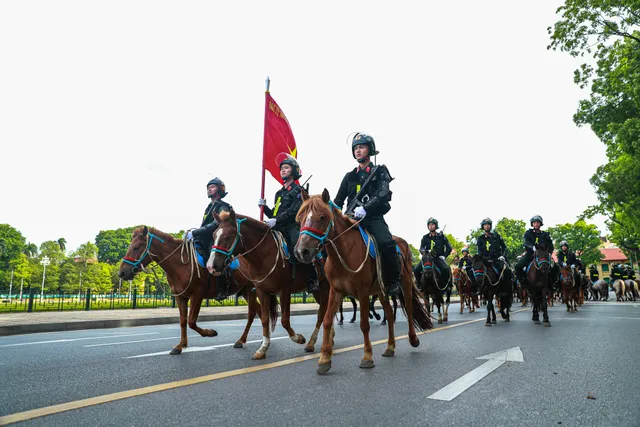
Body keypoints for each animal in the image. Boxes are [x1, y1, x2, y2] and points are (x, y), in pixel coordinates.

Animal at [119, 227, 258, 354]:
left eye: (136, 247)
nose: (122, 273)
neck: (180, 265)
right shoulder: (180, 297)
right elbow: (183, 321)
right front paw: (181, 345)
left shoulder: (197, 295)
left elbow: (191, 321)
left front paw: (210, 332)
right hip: (245, 291)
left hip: (251, 290)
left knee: (252, 314)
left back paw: (242, 340)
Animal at [208, 211, 332, 362]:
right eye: (214, 235)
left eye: (228, 236)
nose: (211, 266)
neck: (265, 254)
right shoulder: (262, 291)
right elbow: (265, 319)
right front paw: (262, 348)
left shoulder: (284, 291)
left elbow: (284, 320)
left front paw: (298, 338)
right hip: (317, 291)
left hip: (325, 286)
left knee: (322, 313)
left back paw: (311, 343)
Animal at [294, 191, 432, 374]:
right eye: (300, 218)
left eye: (322, 217)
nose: (302, 251)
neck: (344, 252)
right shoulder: (336, 291)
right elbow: (327, 320)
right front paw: (324, 359)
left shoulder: (363, 292)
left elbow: (364, 324)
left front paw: (367, 357)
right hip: (381, 290)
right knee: (389, 313)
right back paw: (390, 346)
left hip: (406, 284)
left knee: (408, 309)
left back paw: (413, 339)